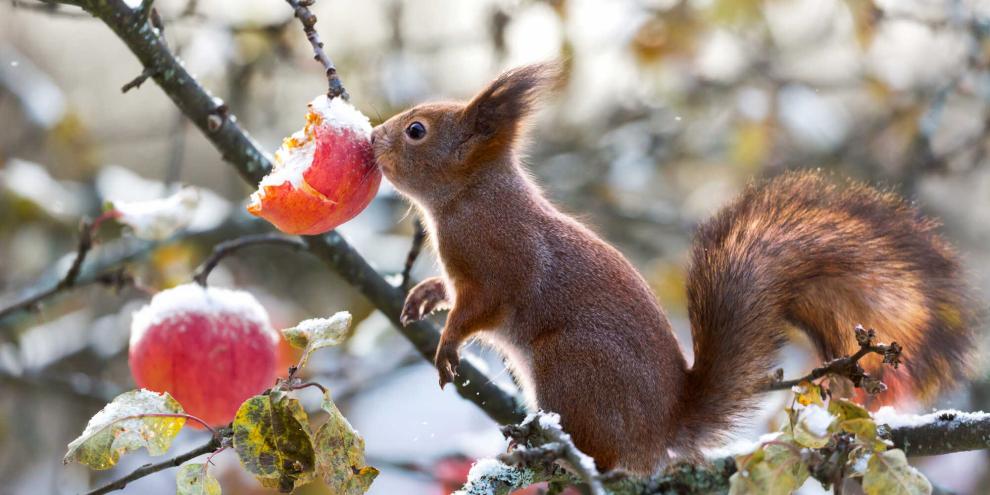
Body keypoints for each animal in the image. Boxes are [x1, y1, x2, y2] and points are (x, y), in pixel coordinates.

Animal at [370, 63, 977, 473]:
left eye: (417, 130)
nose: (372, 138)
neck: (470, 197)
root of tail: (662, 428)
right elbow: (450, 292)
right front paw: (425, 295)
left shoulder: (499, 262)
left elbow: (480, 308)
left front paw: (447, 345)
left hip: (570, 368)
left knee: (603, 452)